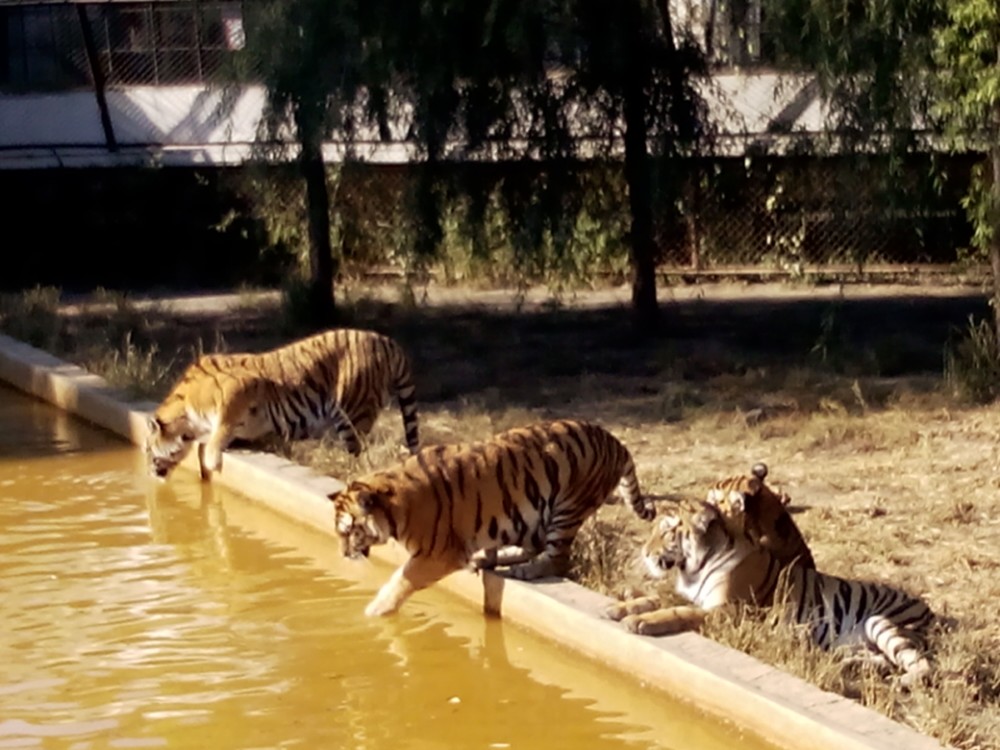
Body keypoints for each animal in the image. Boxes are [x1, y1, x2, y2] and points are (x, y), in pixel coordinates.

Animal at [145, 328, 418, 482]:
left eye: (148, 449)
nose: (148, 470)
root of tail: (388, 342)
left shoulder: (239, 388)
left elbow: (221, 428)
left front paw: (213, 461)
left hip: (353, 410)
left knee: (362, 453)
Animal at [330, 420, 656, 620]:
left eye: (349, 531)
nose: (343, 554)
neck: (394, 504)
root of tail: (616, 442)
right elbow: (487, 542)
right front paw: (484, 559)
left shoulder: (436, 555)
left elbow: (400, 581)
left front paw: (373, 612)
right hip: (536, 514)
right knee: (535, 545)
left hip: (568, 506)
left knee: (557, 559)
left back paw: (525, 570)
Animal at [604, 496, 932, 684]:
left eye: (668, 531)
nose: (645, 552)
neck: (692, 569)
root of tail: (933, 612)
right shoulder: (691, 595)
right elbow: (656, 598)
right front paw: (618, 607)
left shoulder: (730, 610)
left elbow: (677, 611)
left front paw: (639, 621)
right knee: (882, 659)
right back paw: (847, 665)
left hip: (880, 621)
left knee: (921, 666)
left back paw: (896, 681)